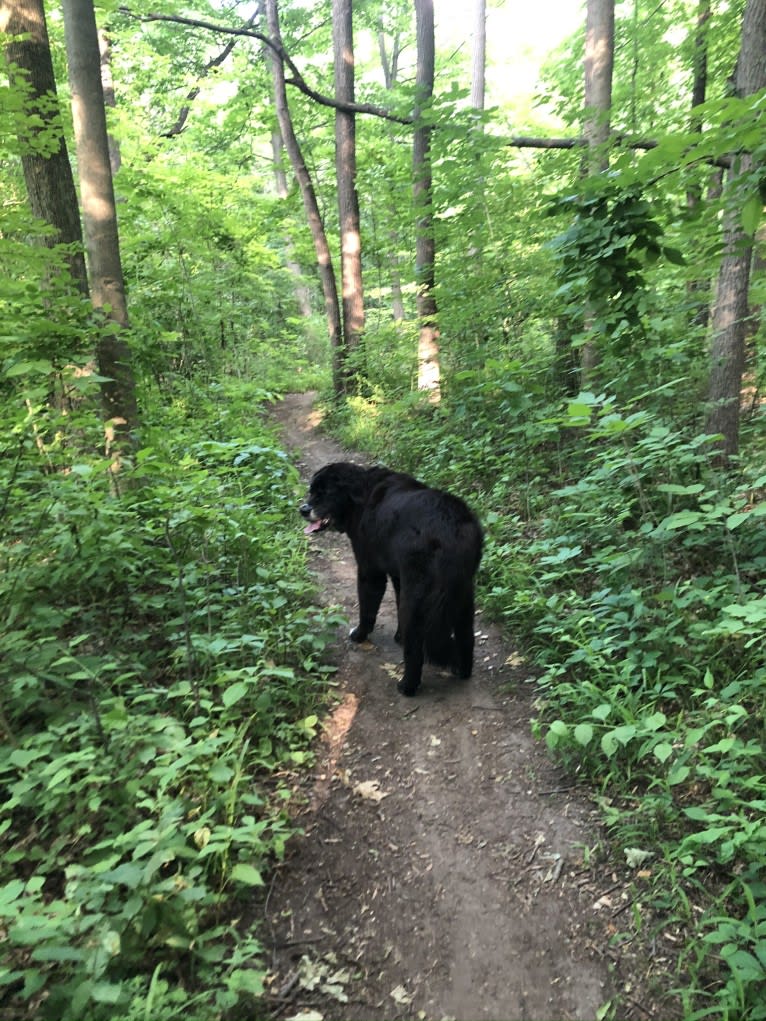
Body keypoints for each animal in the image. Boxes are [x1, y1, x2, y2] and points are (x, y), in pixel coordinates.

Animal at [298, 463, 480, 694]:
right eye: (311, 491)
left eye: (325, 493)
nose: (303, 509)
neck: (361, 497)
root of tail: (451, 529)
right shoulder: (399, 576)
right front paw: (398, 637)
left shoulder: (370, 571)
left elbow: (367, 610)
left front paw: (359, 635)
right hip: (462, 597)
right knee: (466, 637)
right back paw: (463, 671)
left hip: (418, 603)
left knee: (415, 651)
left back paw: (406, 686)